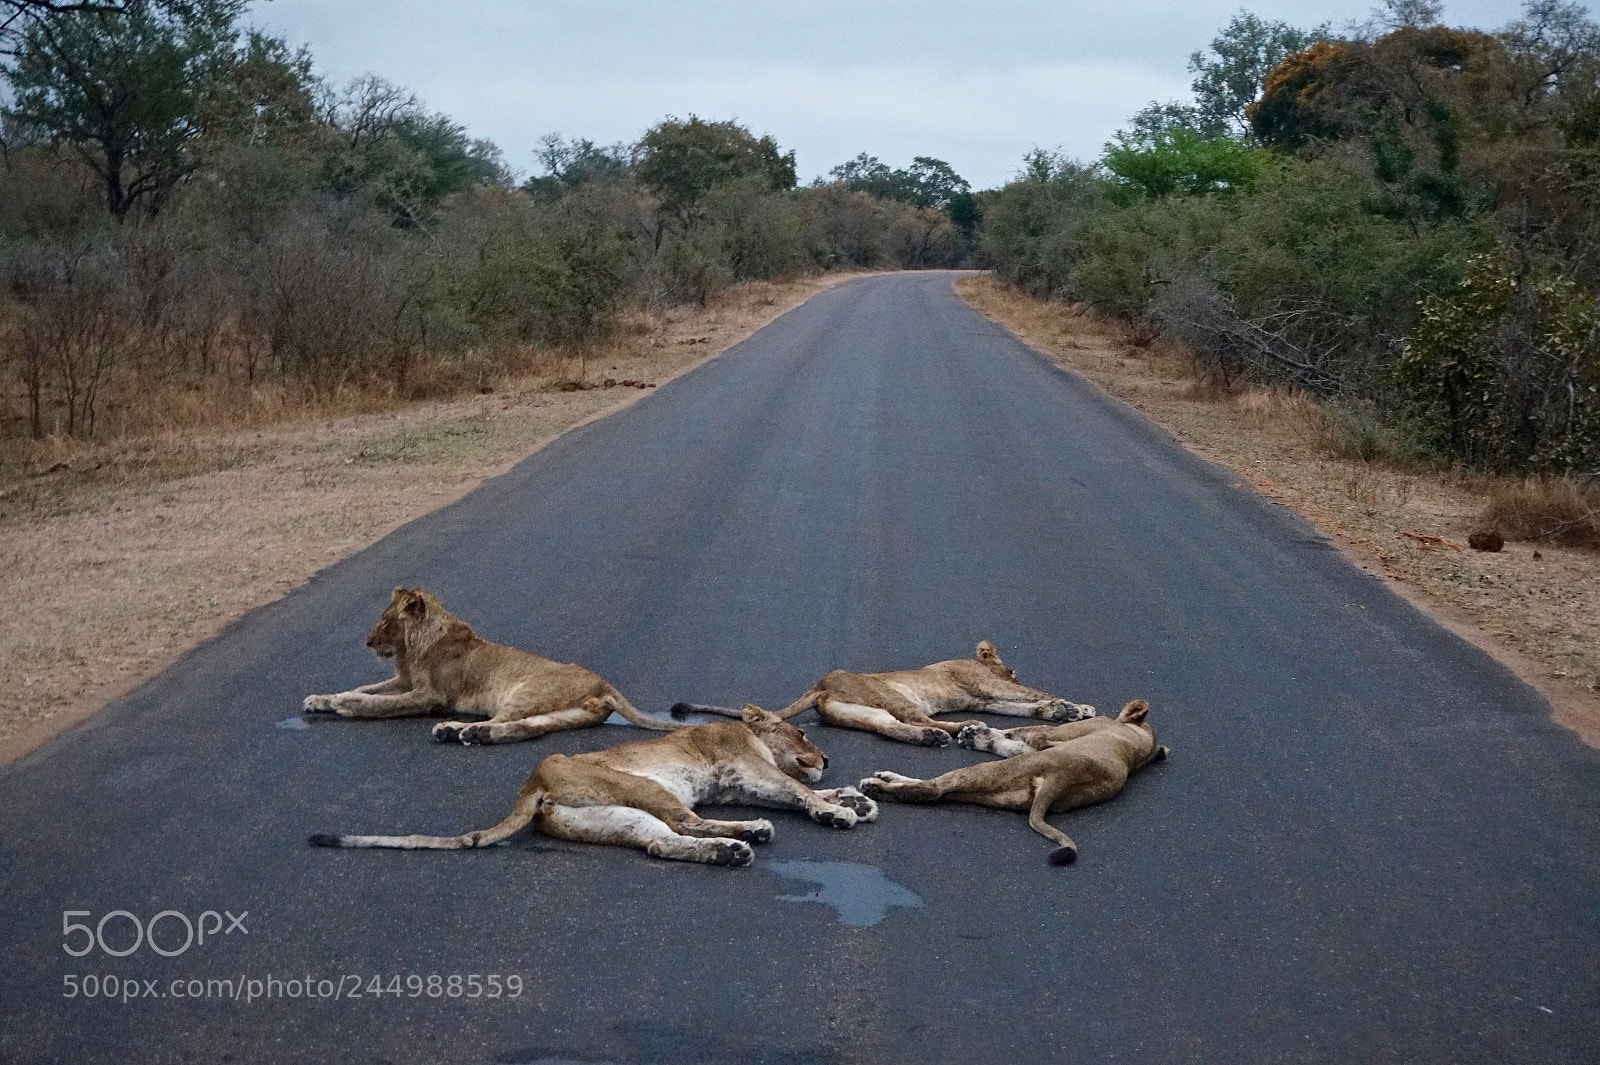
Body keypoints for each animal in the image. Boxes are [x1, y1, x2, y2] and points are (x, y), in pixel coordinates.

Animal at [302, 588, 681, 744]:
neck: (412, 649)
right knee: (530, 727)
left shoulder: (430, 695)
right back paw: (474, 734)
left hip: (525, 691)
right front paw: (321, 699)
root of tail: (604, 683)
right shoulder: (405, 680)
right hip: (562, 712)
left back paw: (455, 729)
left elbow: (382, 703)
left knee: (504, 720)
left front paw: (347, 704)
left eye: (385, 623)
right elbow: (367, 687)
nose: (367, 642)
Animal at [308, 707, 878, 866]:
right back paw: (751, 833)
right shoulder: (747, 771)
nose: (827, 757)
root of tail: (533, 783)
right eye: (803, 732)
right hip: (645, 790)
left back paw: (732, 851)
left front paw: (852, 797)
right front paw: (838, 811)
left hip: (615, 816)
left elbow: (808, 792)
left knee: (662, 843)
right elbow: (800, 792)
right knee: (684, 821)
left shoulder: (737, 784)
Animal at [671, 641, 1095, 747]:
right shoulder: (988, 687)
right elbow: (1032, 694)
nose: (1011, 668)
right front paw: (1075, 707)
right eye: (1010, 667)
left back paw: (934, 736)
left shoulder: (987, 695)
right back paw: (964, 729)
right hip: (890, 696)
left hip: (864, 712)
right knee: (917, 717)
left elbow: (1024, 706)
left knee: (890, 728)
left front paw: (1059, 712)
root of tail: (819, 686)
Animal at [858, 699, 1167, 864]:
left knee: (932, 790)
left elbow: (1016, 732)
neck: (1140, 743)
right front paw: (975, 734)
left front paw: (974, 733)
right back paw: (883, 779)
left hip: (988, 773)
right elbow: (1014, 739)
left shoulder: (1050, 735)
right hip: (994, 791)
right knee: (939, 791)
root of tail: (1061, 780)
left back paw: (875, 786)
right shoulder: (1043, 743)